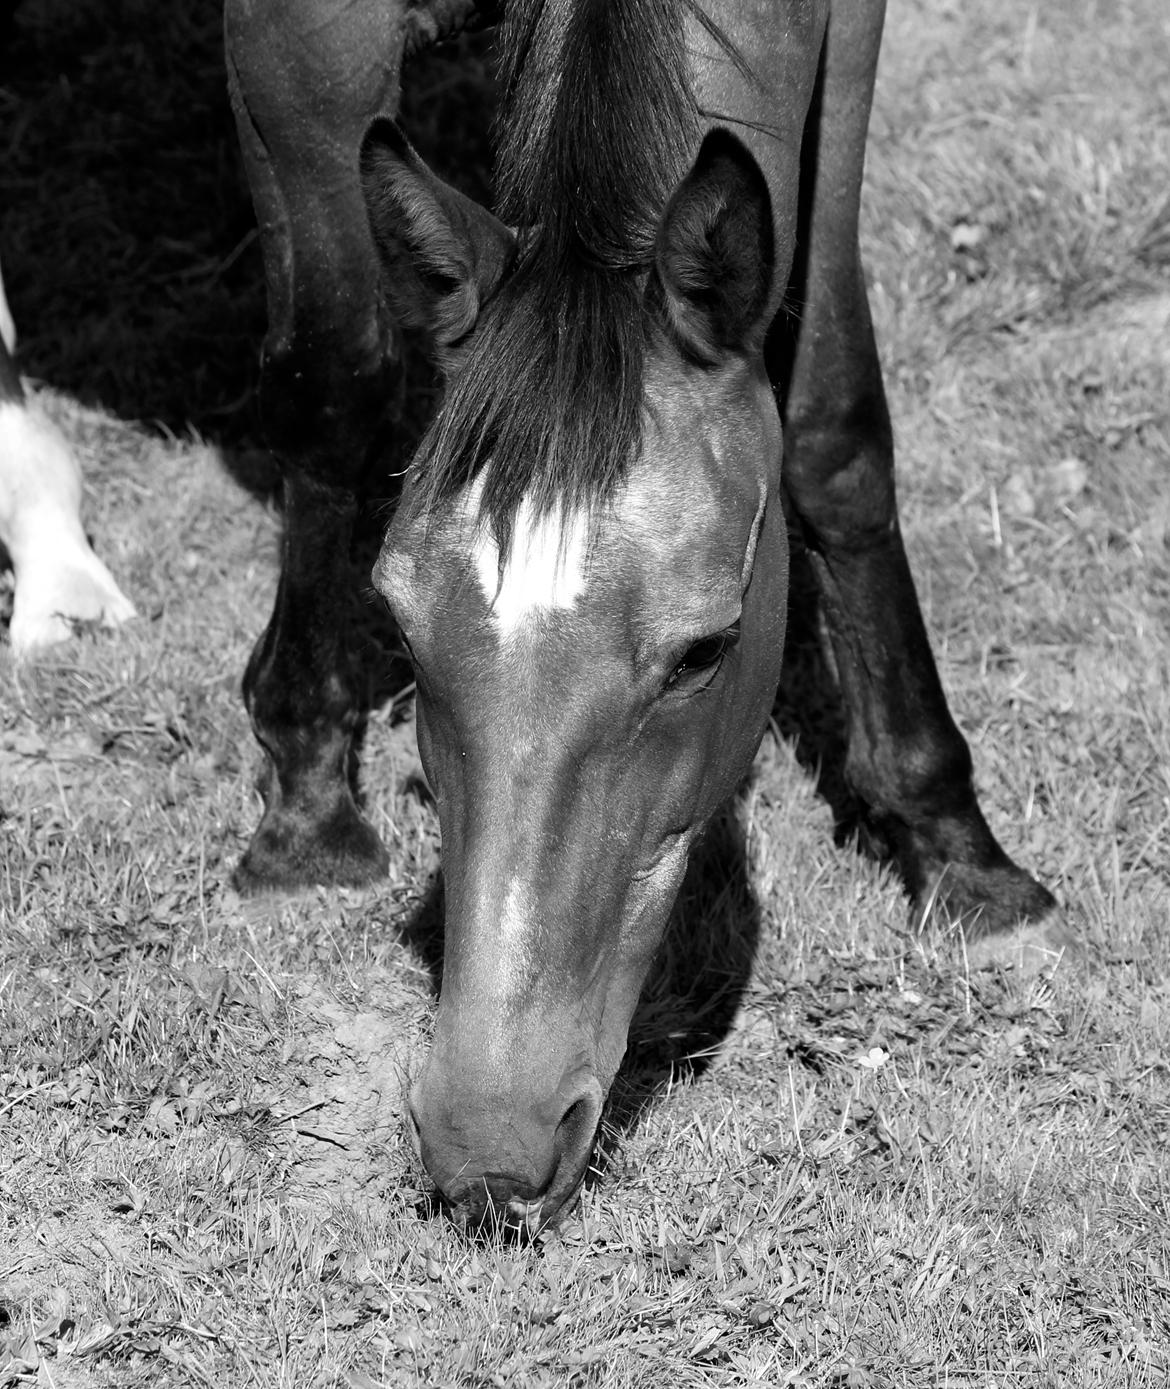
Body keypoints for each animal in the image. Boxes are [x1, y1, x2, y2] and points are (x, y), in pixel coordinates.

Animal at [223, 0, 1061, 1238]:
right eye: (404, 634)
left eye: (703, 653)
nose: (489, 1144)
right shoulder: (294, 44)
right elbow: (335, 385)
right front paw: (306, 813)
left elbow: (831, 420)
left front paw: (958, 846)